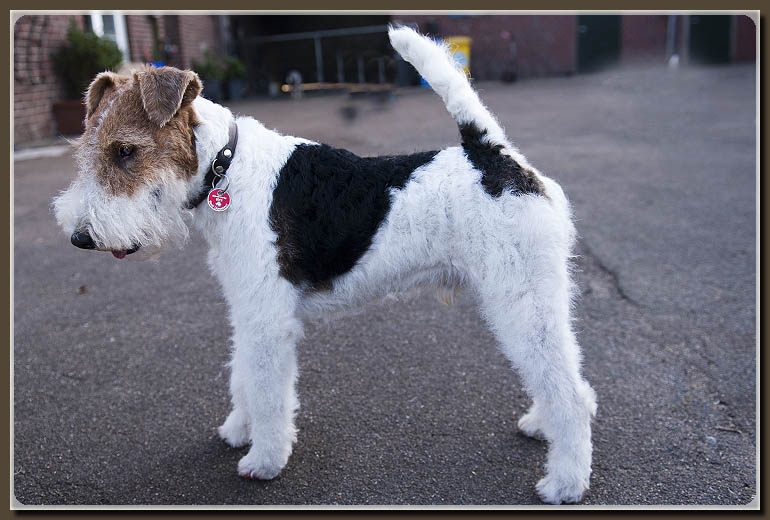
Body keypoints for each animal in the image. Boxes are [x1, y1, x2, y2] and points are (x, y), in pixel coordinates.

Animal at [52, 26, 592, 502]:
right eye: (86, 149)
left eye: (125, 150)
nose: (81, 237)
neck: (225, 168)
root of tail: (494, 157)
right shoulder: (249, 310)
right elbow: (244, 377)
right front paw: (238, 429)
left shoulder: (268, 319)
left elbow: (269, 393)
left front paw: (263, 460)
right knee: (566, 382)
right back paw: (540, 426)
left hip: (522, 299)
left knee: (571, 394)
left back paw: (564, 484)